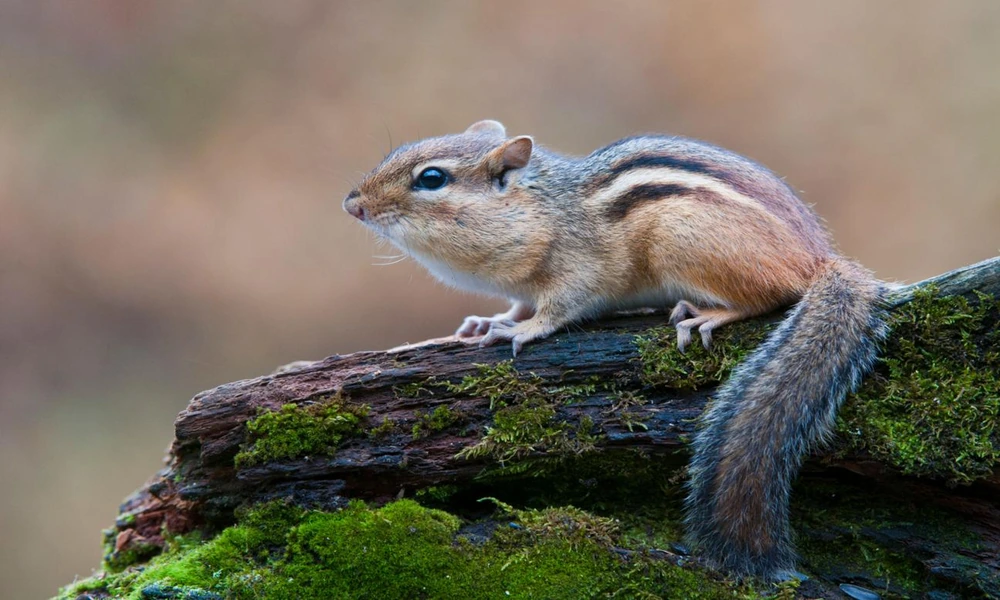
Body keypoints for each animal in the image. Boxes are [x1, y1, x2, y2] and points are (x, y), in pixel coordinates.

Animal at [343, 119, 888, 580]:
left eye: (432, 179)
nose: (352, 204)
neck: (542, 210)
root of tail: (820, 258)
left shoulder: (577, 271)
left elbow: (558, 308)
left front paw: (522, 331)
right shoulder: (523, 285)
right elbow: (516, 304)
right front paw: (487, 322)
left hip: (685, 238)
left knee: (770, 296)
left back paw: (709, 314)